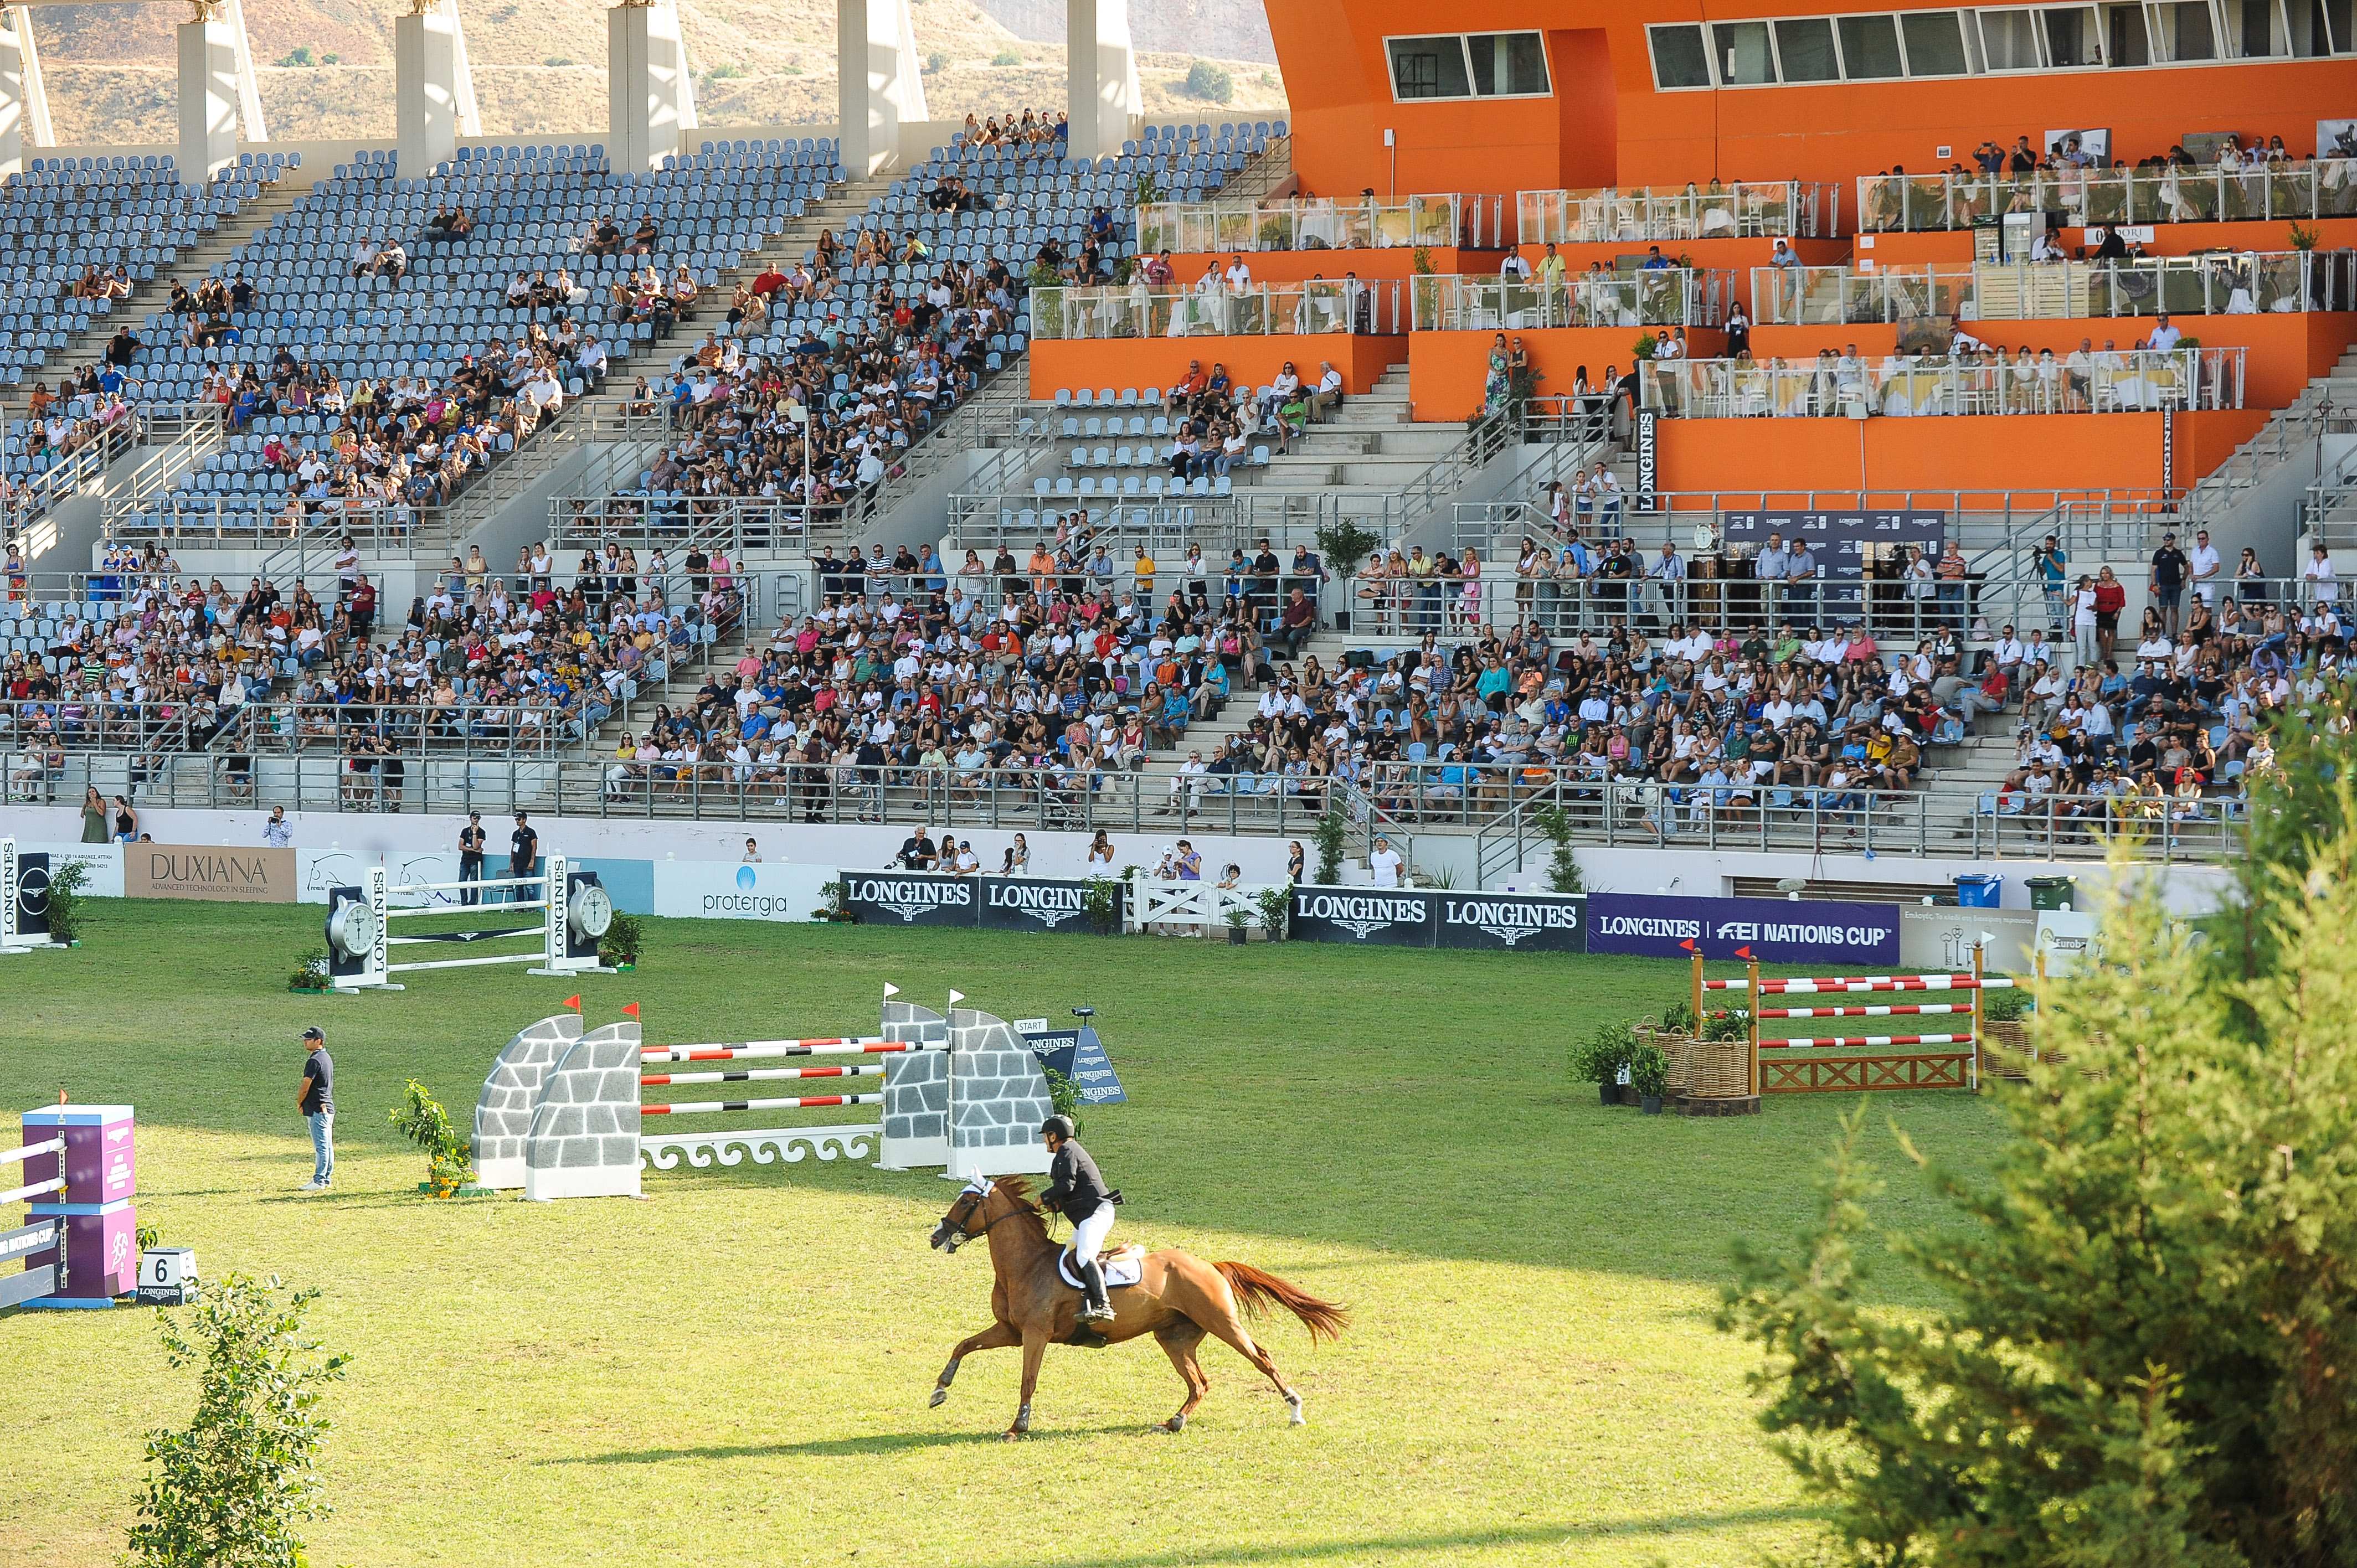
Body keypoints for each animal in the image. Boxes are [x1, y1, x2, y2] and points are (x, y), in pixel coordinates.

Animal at [928, 1174, 1357, 1433]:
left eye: (966, 1202)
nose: (936, 1237)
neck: (1025, 1264)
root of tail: (1209, 1265)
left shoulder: (1034, 1334)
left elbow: (1028, 1379)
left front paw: (1018, 1428)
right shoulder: (1011, 1331)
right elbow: (964, 1345)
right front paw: (940, 1390)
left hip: (1222, 1323)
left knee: (1261, 1358)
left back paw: (1295, 1409)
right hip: (1174, 1338)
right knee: (1199, 1383)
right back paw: (1173, 1422)